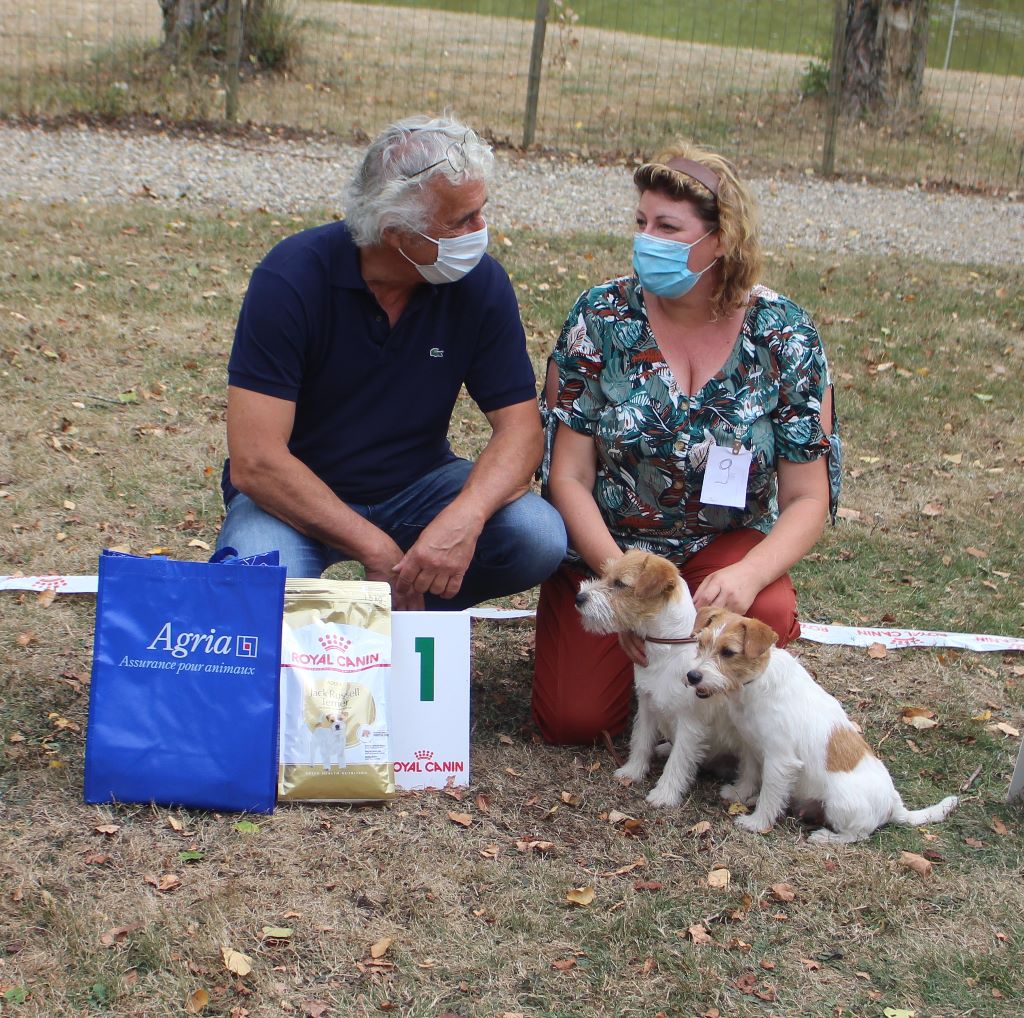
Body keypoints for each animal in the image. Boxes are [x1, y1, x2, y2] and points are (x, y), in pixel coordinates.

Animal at [577, 553, 737, 807]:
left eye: (620, 583)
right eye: (605, 575)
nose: (579, 597)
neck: (668, 650)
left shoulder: (690, 723)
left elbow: (677, 762)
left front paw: (664, 794)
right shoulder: (647, 704)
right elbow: (641, 740)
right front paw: (632, 772)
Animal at [684, 606, 954, 835]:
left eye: (728, 652)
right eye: (701, 643)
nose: (692, 676)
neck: (755, 684)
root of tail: (893, 805)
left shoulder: (780, 760)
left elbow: (770, 795)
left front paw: (757, 822)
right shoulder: (751, 746)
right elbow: (749, 774)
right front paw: (740, 794)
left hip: (839, 805)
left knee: (857, 834)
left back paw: (826, 837)